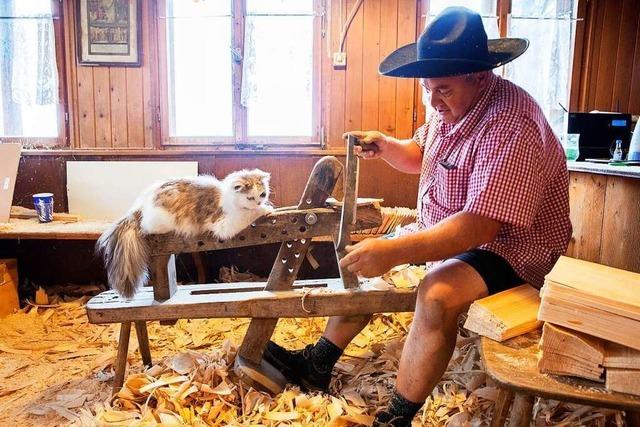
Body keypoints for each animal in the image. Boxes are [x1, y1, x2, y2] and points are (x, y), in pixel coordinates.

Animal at [96, 169, 272, 300]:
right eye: (250, 197)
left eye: (262, 194)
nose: (259, 202)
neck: (227, 198)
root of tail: (141, 204)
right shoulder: (223, 224)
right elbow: (248, 214)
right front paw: (265, 209)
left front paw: (265, 208)